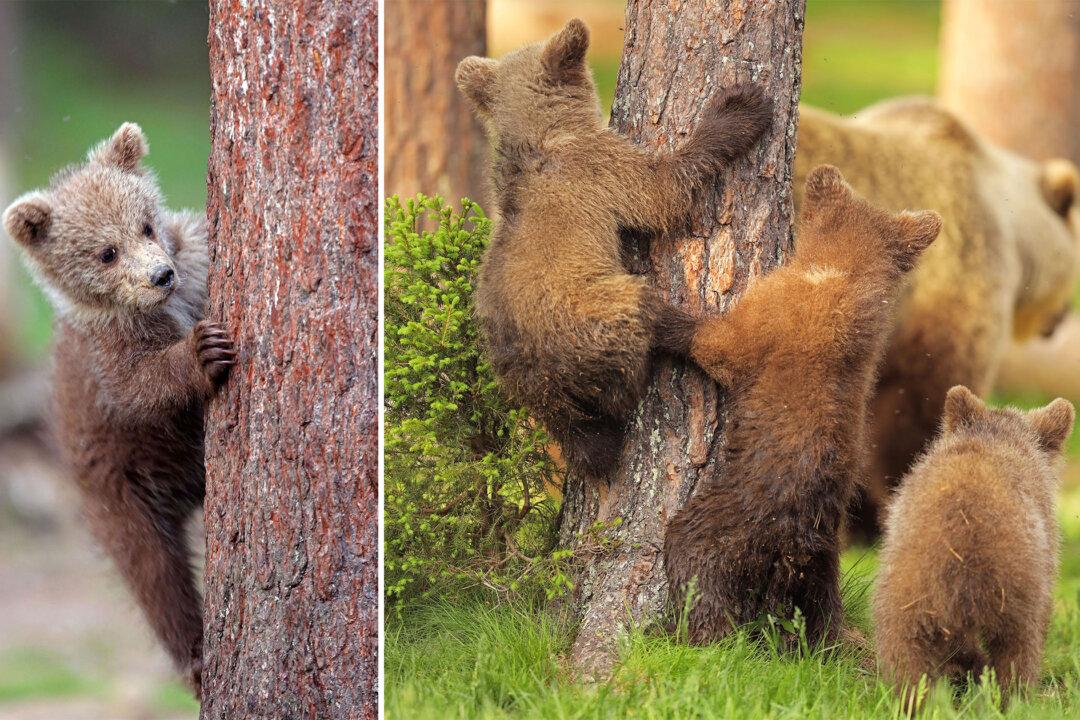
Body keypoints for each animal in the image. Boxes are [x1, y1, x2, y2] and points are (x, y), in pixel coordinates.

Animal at [2, 123, 235, 695]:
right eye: (106, 252)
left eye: (146, 224)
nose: (160, 276)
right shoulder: (109, 358)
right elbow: (140, 385)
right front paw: (203, 351)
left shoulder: (194, 262)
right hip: (119, 492)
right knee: (154, 574)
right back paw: (196, 657)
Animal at [455, 18, 772, 480]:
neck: (542, 137)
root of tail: (541, 378)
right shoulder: (600, 169)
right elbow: (662, 192)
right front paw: (739, 108)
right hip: (592, 316)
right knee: (638, 321)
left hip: (516, 375)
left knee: (583, 434)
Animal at [664, 165, 941, 647]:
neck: (842, 277)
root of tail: (794, 543)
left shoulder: (771, 314)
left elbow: (718, 344)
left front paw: (655, 313)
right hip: (822, 563)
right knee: (820, 613)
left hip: (733, 518)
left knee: (692, 556)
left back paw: (701, 633)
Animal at [873, 386, 1073, 706]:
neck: (997, 439)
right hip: (1015, 590)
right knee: (1018, 652)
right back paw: (1013, 700)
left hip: (905, 597)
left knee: (906, 659)